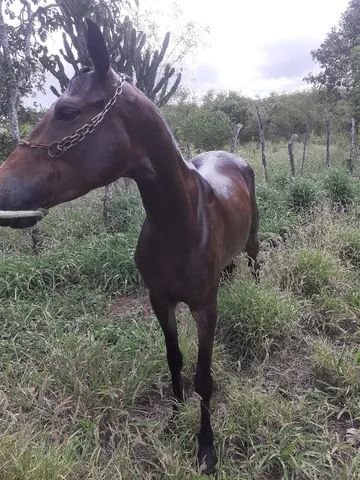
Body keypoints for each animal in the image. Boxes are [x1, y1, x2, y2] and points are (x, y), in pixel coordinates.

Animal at [0, 20, 258, 474]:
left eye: (67, 112)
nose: (0, 187)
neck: (182, 223)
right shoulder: (160, 300)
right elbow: (174, 360)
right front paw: (173, 420)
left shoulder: (204, 308)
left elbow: (203, 378)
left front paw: (206, 449)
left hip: (255, 240)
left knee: (259, 262)